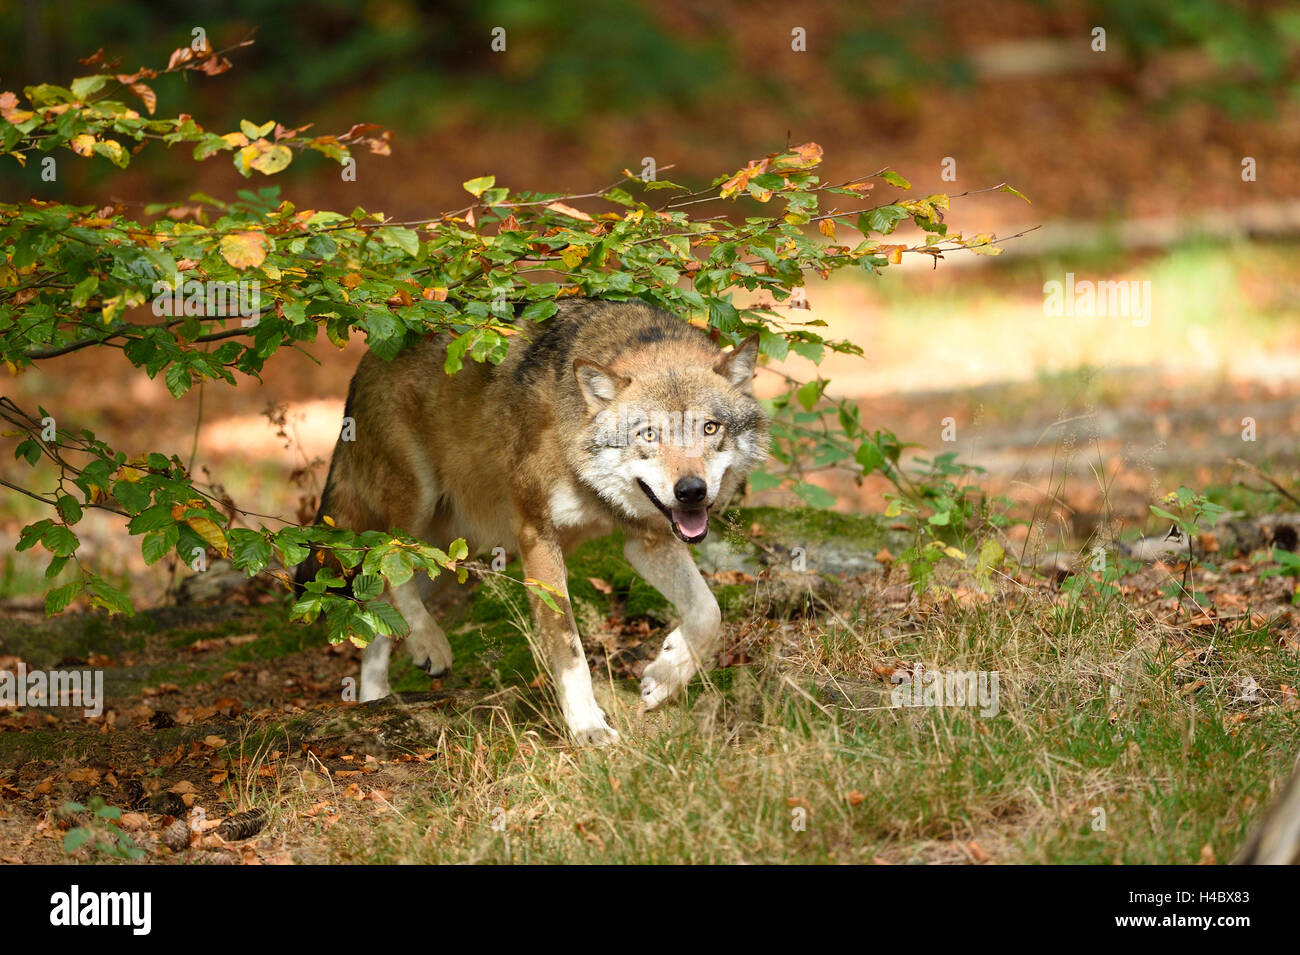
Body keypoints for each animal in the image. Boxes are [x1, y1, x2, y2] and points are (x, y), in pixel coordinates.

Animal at [299, 298, 764, 748]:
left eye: (710, 428)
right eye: (649, 434)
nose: (691, 491)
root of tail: (371, 354)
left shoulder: (647, 539)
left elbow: (708, 612)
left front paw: (664, 677)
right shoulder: (537, 536)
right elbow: (568, 646)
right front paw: (587, 727)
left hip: (449, 558)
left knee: (381, 601)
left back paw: (375, 696)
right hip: (419, 504)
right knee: (386, 560)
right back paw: (430, 646)